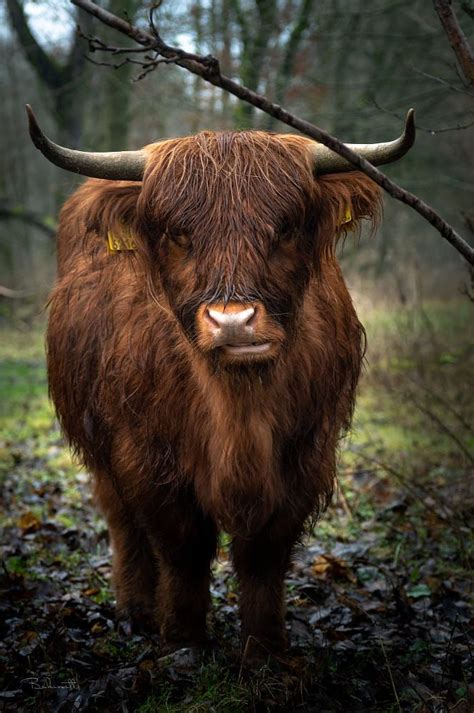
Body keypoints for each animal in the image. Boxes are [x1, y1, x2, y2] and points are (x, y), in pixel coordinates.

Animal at [26, 105, 414, 656]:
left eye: (285, 228)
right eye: (179, 234)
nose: (233, 323)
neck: (238, 409)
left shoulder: (307, 453)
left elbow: (263, 556)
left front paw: (266, 649)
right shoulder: (145, 454)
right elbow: (183, 549)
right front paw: (184, 640)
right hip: (101, 446)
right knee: (124, 525)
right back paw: (137, 611)